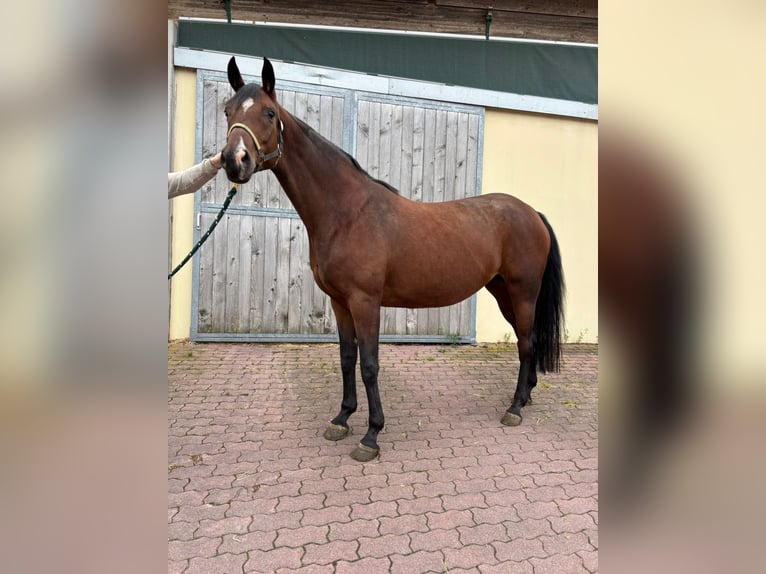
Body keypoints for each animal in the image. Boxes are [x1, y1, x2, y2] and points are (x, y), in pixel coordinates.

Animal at [220, 56, 565, 461]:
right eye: (227, 110)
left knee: (526, 343)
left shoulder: (365, 301)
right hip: (503, 292)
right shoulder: (339, 302)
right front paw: (342, 418)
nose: (234, 161)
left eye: (270, 113)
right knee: (528, 340)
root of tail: (531, 212)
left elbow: (370, 365)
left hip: (523, 291)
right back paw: (525, 398)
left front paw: (371, 435)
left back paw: (514, 408)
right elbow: (347, 358)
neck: (347, 212)